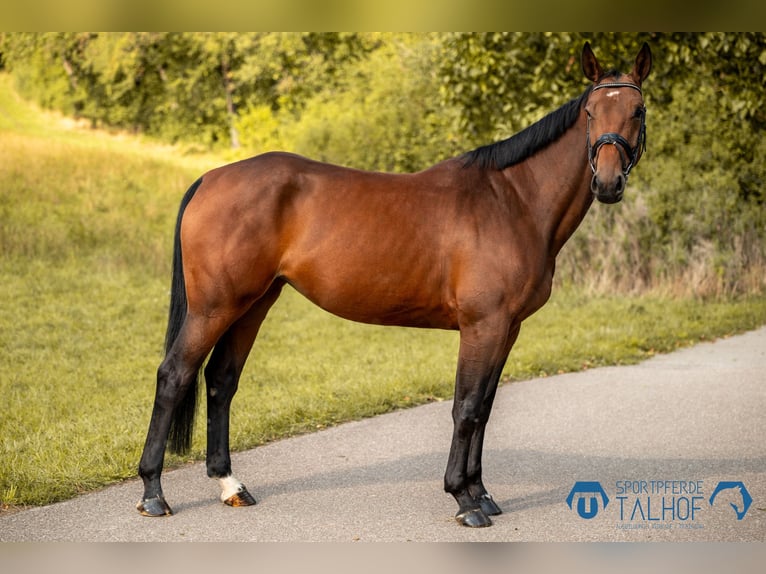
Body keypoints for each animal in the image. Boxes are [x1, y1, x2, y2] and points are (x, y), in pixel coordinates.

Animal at [138, 41, 656, 532]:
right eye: (590, 112)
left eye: (637, 110)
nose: (608, 183)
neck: (513, 201)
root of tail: (211, 178)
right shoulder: (483, 325)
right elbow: (467, 406)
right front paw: (464, 500)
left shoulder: (507, 328)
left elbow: (486, 407)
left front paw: (482, 493)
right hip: (215, 307)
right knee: (174, 375)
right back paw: (153, 494)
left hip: (253, 303)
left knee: (221, 380)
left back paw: (230, 485)